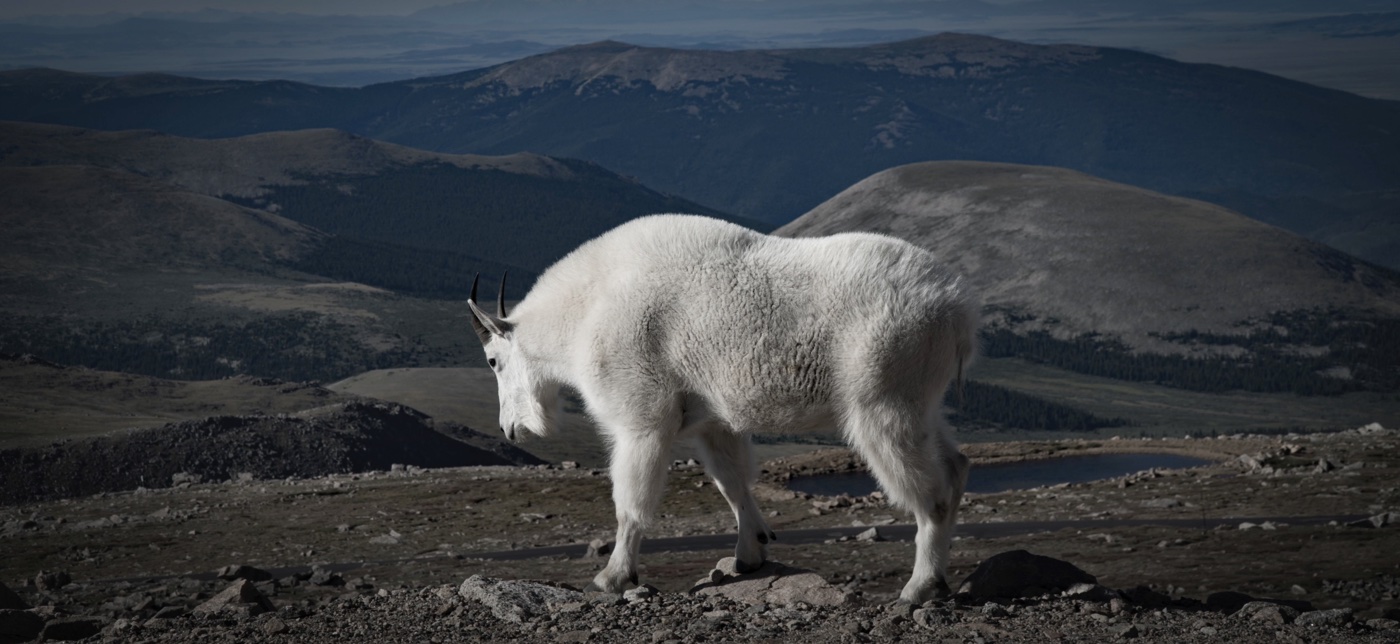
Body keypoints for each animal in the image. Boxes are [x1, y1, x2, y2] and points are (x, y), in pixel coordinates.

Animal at [467, 214, 977, 603]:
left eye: (492, 361)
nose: (510, 429)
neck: (586, 308)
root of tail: (956, 309)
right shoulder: (714, 422)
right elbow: (732, 483)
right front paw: (750, 554)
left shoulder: (642, 420)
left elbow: (631, 503)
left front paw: (613, 576)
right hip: (922, 403)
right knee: (955, 466)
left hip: (883, 401)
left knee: (931, 494)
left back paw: (919, 587)